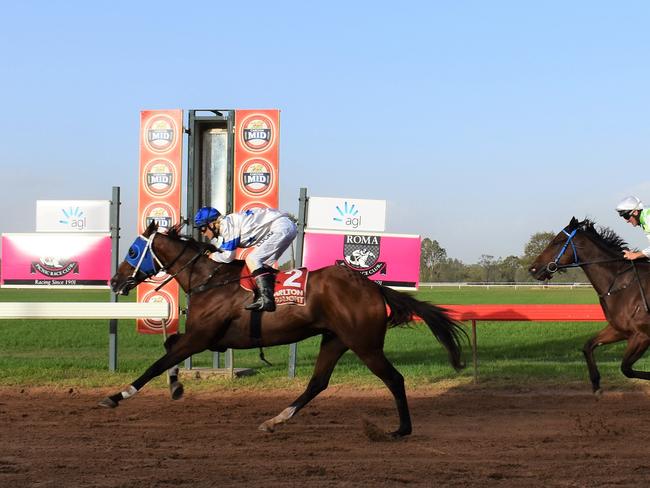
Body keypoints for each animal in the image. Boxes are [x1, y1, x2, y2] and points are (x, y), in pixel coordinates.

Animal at [102, 222, 466, 438]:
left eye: (133, 251)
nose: (115, 281)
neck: (209, 280)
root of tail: (374, 288)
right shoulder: (207, 339)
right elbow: (168, 350)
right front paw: (176, 386)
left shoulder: (202, 337)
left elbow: (158, 362)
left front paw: (117, 395)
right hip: (335, 339)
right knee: (317, 383)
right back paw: (277, 419)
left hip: (365, 344)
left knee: (394, 379)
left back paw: (401, 429)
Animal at [528, 219, 648, 394]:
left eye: (557, 241)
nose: (532, 269)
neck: (621, 284)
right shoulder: (620, 330)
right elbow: (588, 346)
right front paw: (596, 384)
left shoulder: (642, 336)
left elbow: (626, 368)